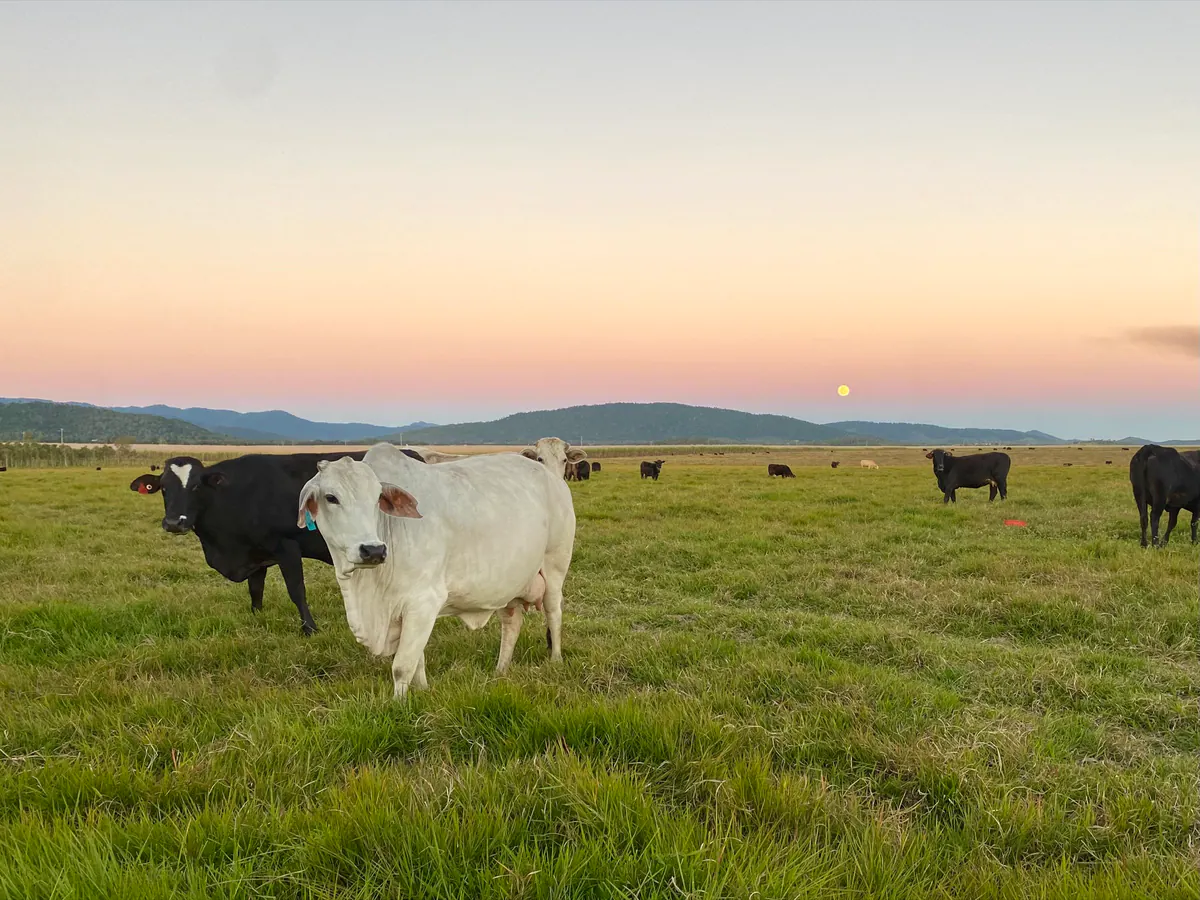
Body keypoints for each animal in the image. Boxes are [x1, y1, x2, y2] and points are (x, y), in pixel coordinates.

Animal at [130, 449, 425, 635]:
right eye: (164, 488)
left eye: (196, 486)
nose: (174, 522)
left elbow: (296, 590)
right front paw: (257, 616)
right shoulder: (254, 553)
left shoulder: (287, 546)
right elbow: (255, 589)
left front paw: (309, 628)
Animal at [296, 444, 575, 698]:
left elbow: (402, 666)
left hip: (555, 566)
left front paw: (399, 705)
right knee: (511, 623)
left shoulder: (423, 602)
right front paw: (422, 690)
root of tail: (552, 478)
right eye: (331, 497)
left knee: (554, 613)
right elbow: (416, 661)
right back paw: (500, 670)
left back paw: (556, 660)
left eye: (377, 498)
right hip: (509, 584)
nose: (373, 550)